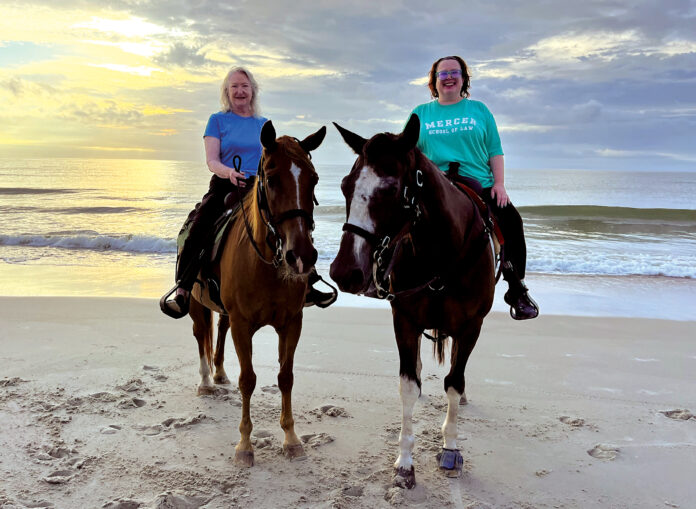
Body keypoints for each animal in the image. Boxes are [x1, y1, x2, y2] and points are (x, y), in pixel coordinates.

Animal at [187, 120, 326, 467]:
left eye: (314, 179)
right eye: (272, 179)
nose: (301, 256)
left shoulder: (292, 322)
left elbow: (286, 376)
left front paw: (291, 439)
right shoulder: (243, 324)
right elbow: (248, 380)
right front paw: (245, 446)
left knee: (218, 329)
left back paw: (219, 373)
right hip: (196, 302)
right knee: (200, 333)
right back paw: (206, 381)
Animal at [330, 114, 495, 488]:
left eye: (391, 190)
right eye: (346, 185)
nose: (344, 272)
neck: (440, 257)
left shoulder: (471, 326)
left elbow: (454, 382)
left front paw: (450, 448)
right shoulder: (404, 320)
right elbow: (407, 386)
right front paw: (405, 462)